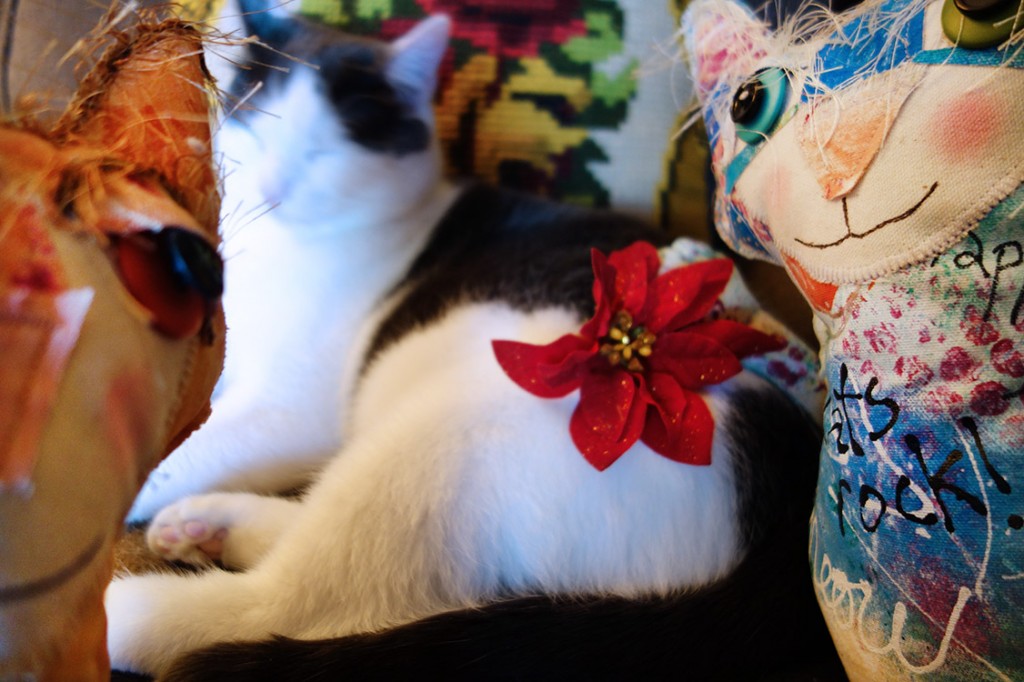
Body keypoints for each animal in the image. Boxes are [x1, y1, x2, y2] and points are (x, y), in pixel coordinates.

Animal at [105, 3, 839, 675]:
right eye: (255, 132)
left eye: (322, 154)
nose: (272, 187)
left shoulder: (295, 408)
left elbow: (186, 451)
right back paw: (213, 525)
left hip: (456, 434)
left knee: (288, 602)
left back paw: (126, 612)